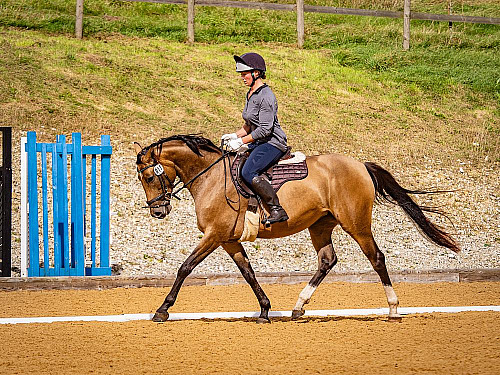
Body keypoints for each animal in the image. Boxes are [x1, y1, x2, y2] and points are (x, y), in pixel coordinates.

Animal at [134, 134, 460, 324]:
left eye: (149, 177)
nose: (158, 211)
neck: (211, 177)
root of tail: (360, 165)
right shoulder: (228, 240)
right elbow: (248, 273)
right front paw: (265, 310)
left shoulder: (214, 235)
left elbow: (185, 267)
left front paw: (162, 310)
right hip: (320, 225)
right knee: (327, 260)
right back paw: (299, 306)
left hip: (356, 223)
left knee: (376, 258)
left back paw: (393, 309)